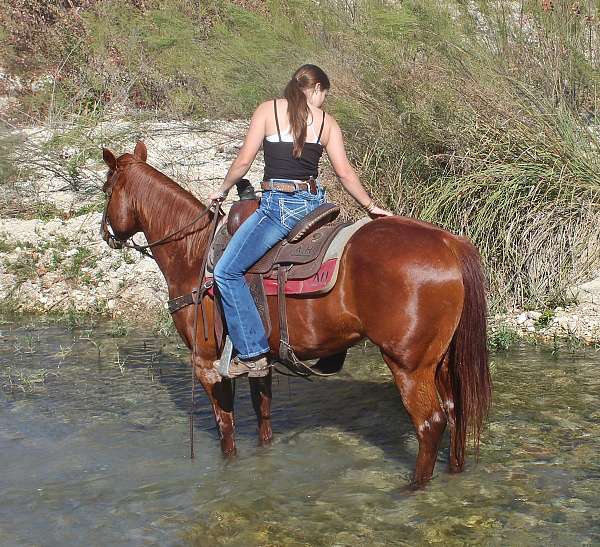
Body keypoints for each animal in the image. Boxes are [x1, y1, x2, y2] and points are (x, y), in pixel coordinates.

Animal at [102, 141, 492, 488]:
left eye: (106, 190)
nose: (106, 234)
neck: (194, 255)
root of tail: (449, 243)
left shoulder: (207, 365)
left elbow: (226, 431)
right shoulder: (259, 361)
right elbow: (263, 421)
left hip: (409, 366)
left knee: (430, 424)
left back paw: (413, 488)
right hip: (442, 360)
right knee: (456, 411)